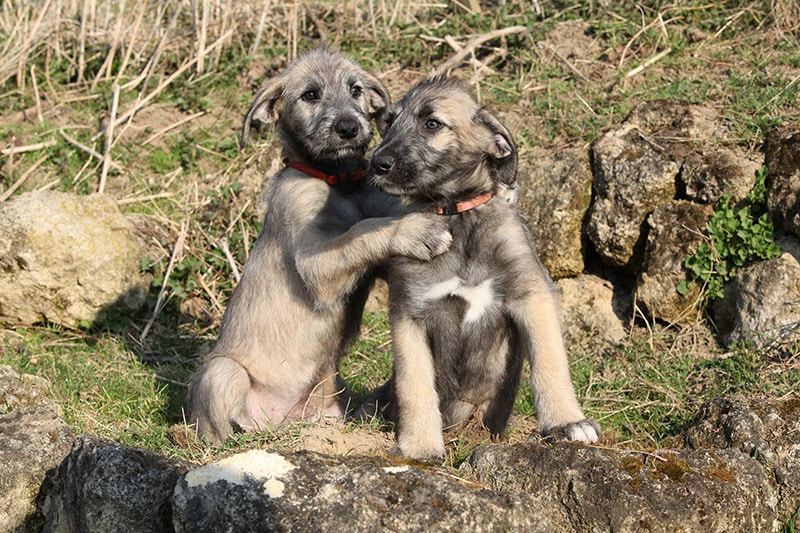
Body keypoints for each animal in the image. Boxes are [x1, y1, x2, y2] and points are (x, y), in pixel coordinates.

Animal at [184, 47, 454, 442]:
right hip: (222, 373)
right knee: (223, 424)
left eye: (356, 90)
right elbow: (364, 230)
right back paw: (249, 432)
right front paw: (416, 230)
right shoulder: (315, 262)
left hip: (327, 390)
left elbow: (375, 222)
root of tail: (283, 419)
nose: (349, 128)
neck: (339, 181)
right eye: (310, 95)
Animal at [366, 77, 596, 460]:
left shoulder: (533, 294)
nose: (377, 164)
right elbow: (415, 385)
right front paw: (419, 445)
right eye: (389, 122)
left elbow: (550, 363)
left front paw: (566, 422)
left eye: (432, 123)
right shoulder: (408, 312)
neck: (458, 217)